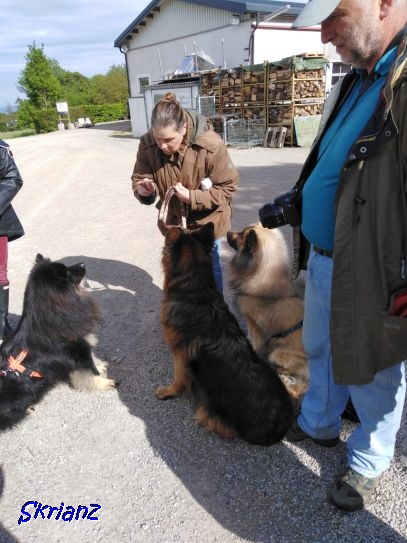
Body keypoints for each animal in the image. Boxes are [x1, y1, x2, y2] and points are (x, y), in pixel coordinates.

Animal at [0, 256, 118, 434]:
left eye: (67, 266)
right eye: (67, 271)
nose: (83, 263)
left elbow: (93, 363)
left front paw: (101, 366)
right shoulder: (78, 355)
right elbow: (90, 373)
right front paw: (106, 382)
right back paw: (27, 409)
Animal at [155, 223, 294, 444]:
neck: (196, 288)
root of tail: (280, 426)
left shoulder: (179, 353)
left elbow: (178, 377)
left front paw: (169, 392)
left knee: (224, 427)